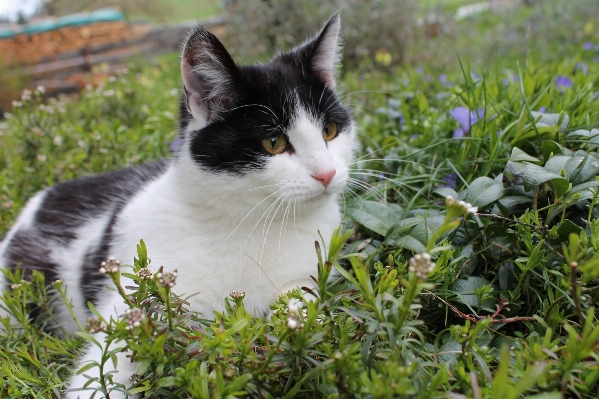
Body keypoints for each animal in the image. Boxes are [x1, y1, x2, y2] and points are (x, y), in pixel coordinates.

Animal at [0, 14, 356, 398]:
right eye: (273, 142)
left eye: (330, 130)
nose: (327, 173)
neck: (255, 223)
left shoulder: (307, 274)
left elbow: (301, 305)